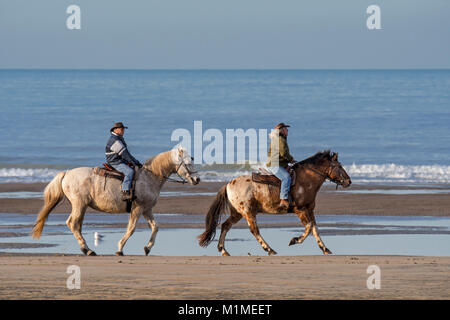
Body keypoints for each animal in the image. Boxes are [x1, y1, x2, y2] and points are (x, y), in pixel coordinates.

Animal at [33, 147, 199, 255]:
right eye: (188, 163)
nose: (197, 179)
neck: (149, 177)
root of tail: (66, 173)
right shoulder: (137, 209)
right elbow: (131, 229)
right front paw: (120, 249)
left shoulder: (147, 209)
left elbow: (155, 227)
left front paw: (147, 248)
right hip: (79, 204)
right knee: (73, 223)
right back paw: (88, 250)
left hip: (82, 206)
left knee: (77, 225)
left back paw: (86, 249)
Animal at [200, 149, 352, 255]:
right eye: (339, 166)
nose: (349, 181)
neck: (306, 180)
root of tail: (228, 184)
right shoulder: (300, 210)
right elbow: (309, 227)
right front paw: (294, 240)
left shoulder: (310, 210)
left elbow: (315, 229)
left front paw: (325, 248)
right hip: (248, 212)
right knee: (254, 230)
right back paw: (269, 249)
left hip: (237, 213)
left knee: (225, 225)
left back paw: (223, 250)